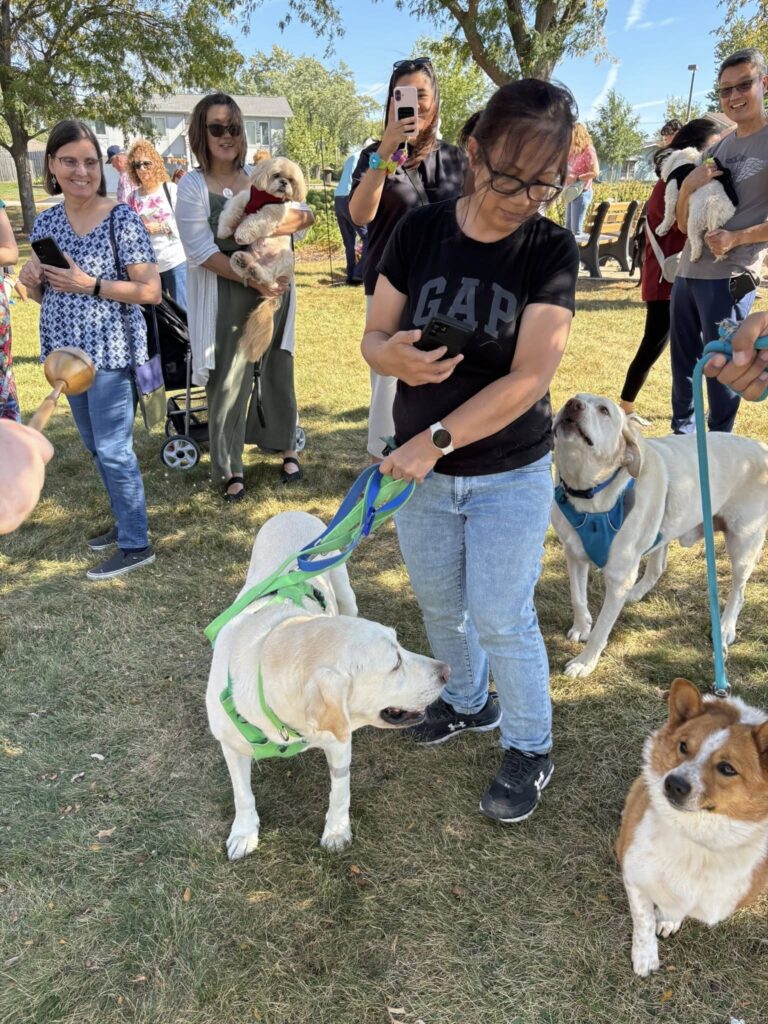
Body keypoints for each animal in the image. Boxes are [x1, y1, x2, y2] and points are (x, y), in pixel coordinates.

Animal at [205, 510, 448, 860]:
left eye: (399, 644)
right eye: (395, 663)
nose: (447, 671)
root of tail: (291, 511)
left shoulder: (339, 741)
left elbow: (340, 792)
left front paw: (336, 831)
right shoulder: (230, 745)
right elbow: (243, 795)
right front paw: (244, 832)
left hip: (346, 593)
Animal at [216, 156, 308, 362]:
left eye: (291, 180)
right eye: (277, 175)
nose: (284, 183)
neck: (264, 197)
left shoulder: (272, 212)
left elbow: (254, 220)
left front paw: (241, 233)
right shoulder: (245, 197)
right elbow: (232, 208)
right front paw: (224, 229)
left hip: (284, 258)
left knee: (268, 278)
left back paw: (258, 272)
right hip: (245, 257)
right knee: (244, 268)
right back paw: (244, 263)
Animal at [551, 394, 768, 678]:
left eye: (604, 410)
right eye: (575, 398)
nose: (572, 404)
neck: (591, 496)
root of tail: (761, 447)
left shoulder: (619, 577)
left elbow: (601, 631)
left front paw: (584, 662)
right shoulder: (573, 553)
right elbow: (577, 598)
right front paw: (581, 627)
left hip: (743, 545)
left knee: (738, 592)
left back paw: (725, 628)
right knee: (658, 566)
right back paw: (637, 592)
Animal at [616, 677, 768, 976]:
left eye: (727, 768)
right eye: (683, 747)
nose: (673, 784)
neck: (695, 837)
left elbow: (673, 908)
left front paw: (668, 919)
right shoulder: (633, 873)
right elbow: (643, 920)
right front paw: (645, 956)